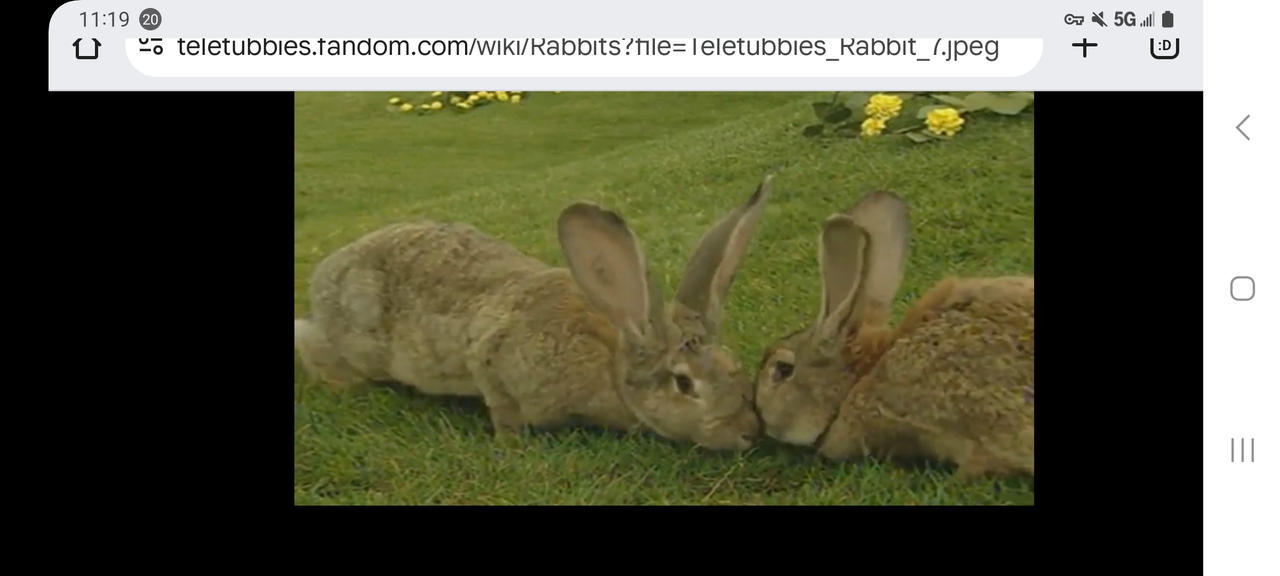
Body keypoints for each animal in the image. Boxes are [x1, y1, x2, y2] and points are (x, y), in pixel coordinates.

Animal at [294, 177, 773, 451]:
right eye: (684, 383)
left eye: (734, 366)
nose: (749, 432)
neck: (611, 364)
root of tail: (324, 273)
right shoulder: (491, 360)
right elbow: (502, 407)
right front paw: (511, 443)